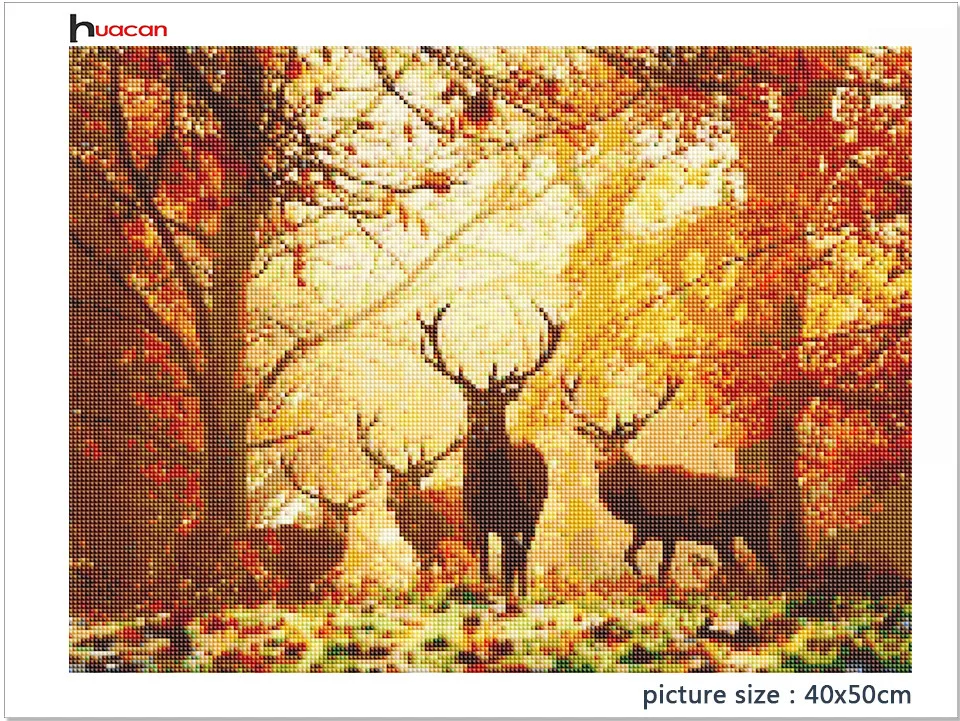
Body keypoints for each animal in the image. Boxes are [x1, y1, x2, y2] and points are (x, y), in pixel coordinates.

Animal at [418, 304, 560, 598]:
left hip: (535, 513)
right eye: (471, 404)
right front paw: (486, 589)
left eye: (499, 407)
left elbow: (509, 562)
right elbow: (485, 562)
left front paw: (507, 596)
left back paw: (522, 593)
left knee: (521, 556)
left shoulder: (513, 518)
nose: (477, 426)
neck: (492, 489)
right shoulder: (475, 520)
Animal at [562, 378, 774, 584]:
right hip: (732, 536)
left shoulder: (670, 530)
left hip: (752, 531)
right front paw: (643, 578)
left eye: (622, 450)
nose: (601, 464)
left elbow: (662, 570)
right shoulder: (644, 530)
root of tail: (766, 495)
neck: (636, 506)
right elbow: (629, 556)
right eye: (602, 449)